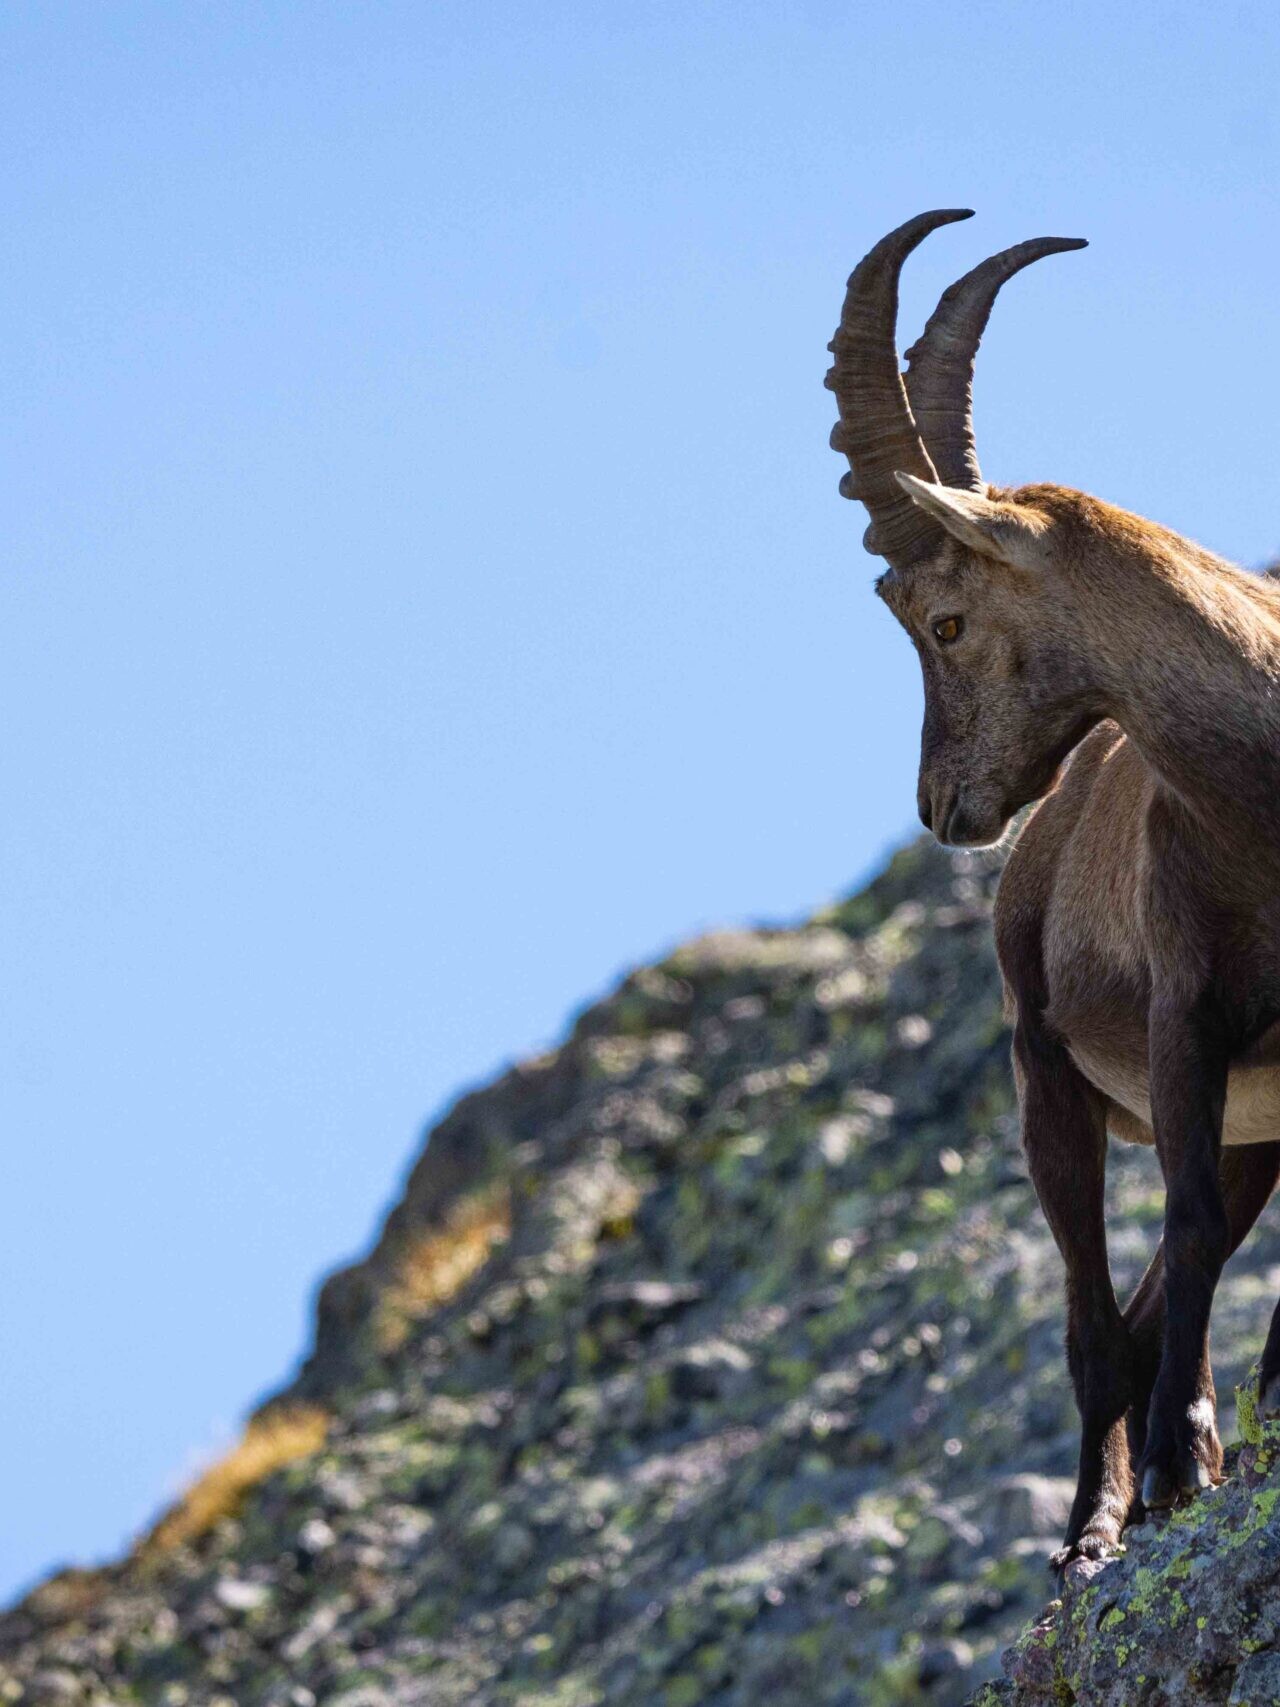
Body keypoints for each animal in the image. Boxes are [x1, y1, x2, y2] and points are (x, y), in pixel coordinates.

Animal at [826, 209, 1280, 1569]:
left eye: (944, 618)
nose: (941, 807)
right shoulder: (1187, 1015)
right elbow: (1183, 1222)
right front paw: (1181, 1467)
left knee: (1138, 1307)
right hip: (1050, 1081)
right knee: (1097, 1324)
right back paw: (1095, 1524)